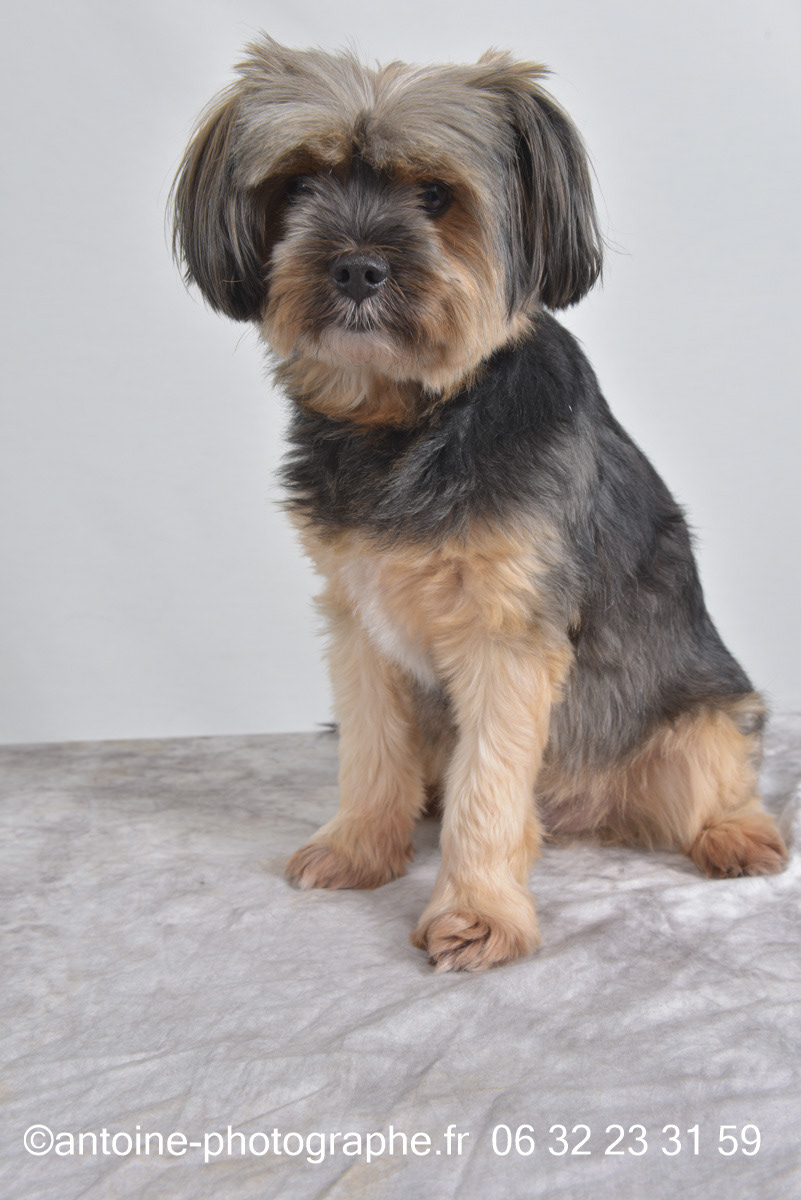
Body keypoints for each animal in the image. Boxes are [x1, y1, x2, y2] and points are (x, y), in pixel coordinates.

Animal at [171, 36, 788, 971]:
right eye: (300, 184)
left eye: (435, 195)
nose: (355, 266)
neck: (409, 418)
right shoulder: (357, 621)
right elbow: (371, 750)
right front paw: (359, 847)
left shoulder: (506, 633)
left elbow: (489, 786)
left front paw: (477, 913)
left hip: (702, 721)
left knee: (716, 781)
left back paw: (735, 835)